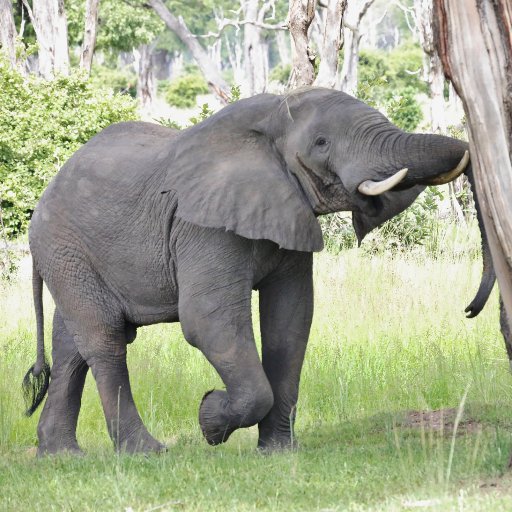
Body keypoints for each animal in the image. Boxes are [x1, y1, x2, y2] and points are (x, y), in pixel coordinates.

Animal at [24, 89, 480, 456]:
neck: (274, 116)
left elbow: (291, 321)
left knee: (71, 347)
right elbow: (209, 320)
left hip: (71, 258)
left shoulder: (289, 213)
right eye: (321, 143)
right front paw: (209, 418)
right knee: (105, 340)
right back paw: (144, 452)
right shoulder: (203, 224)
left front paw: (277, 452)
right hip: (65, 246)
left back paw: (61, 454)